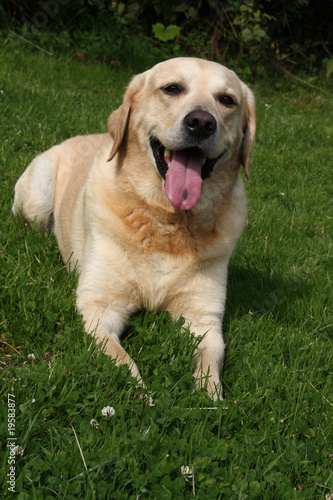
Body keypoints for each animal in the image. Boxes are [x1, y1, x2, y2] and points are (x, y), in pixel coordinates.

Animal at [12, 56, 254, 400]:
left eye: (227, 100)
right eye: (172, 88)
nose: (202, 122)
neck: (167, 223)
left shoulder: (203, 317)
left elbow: (210, 359)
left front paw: (210, 399)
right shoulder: (99, 305)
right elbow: (120, 358)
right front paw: (138, 393)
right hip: (36, 199)